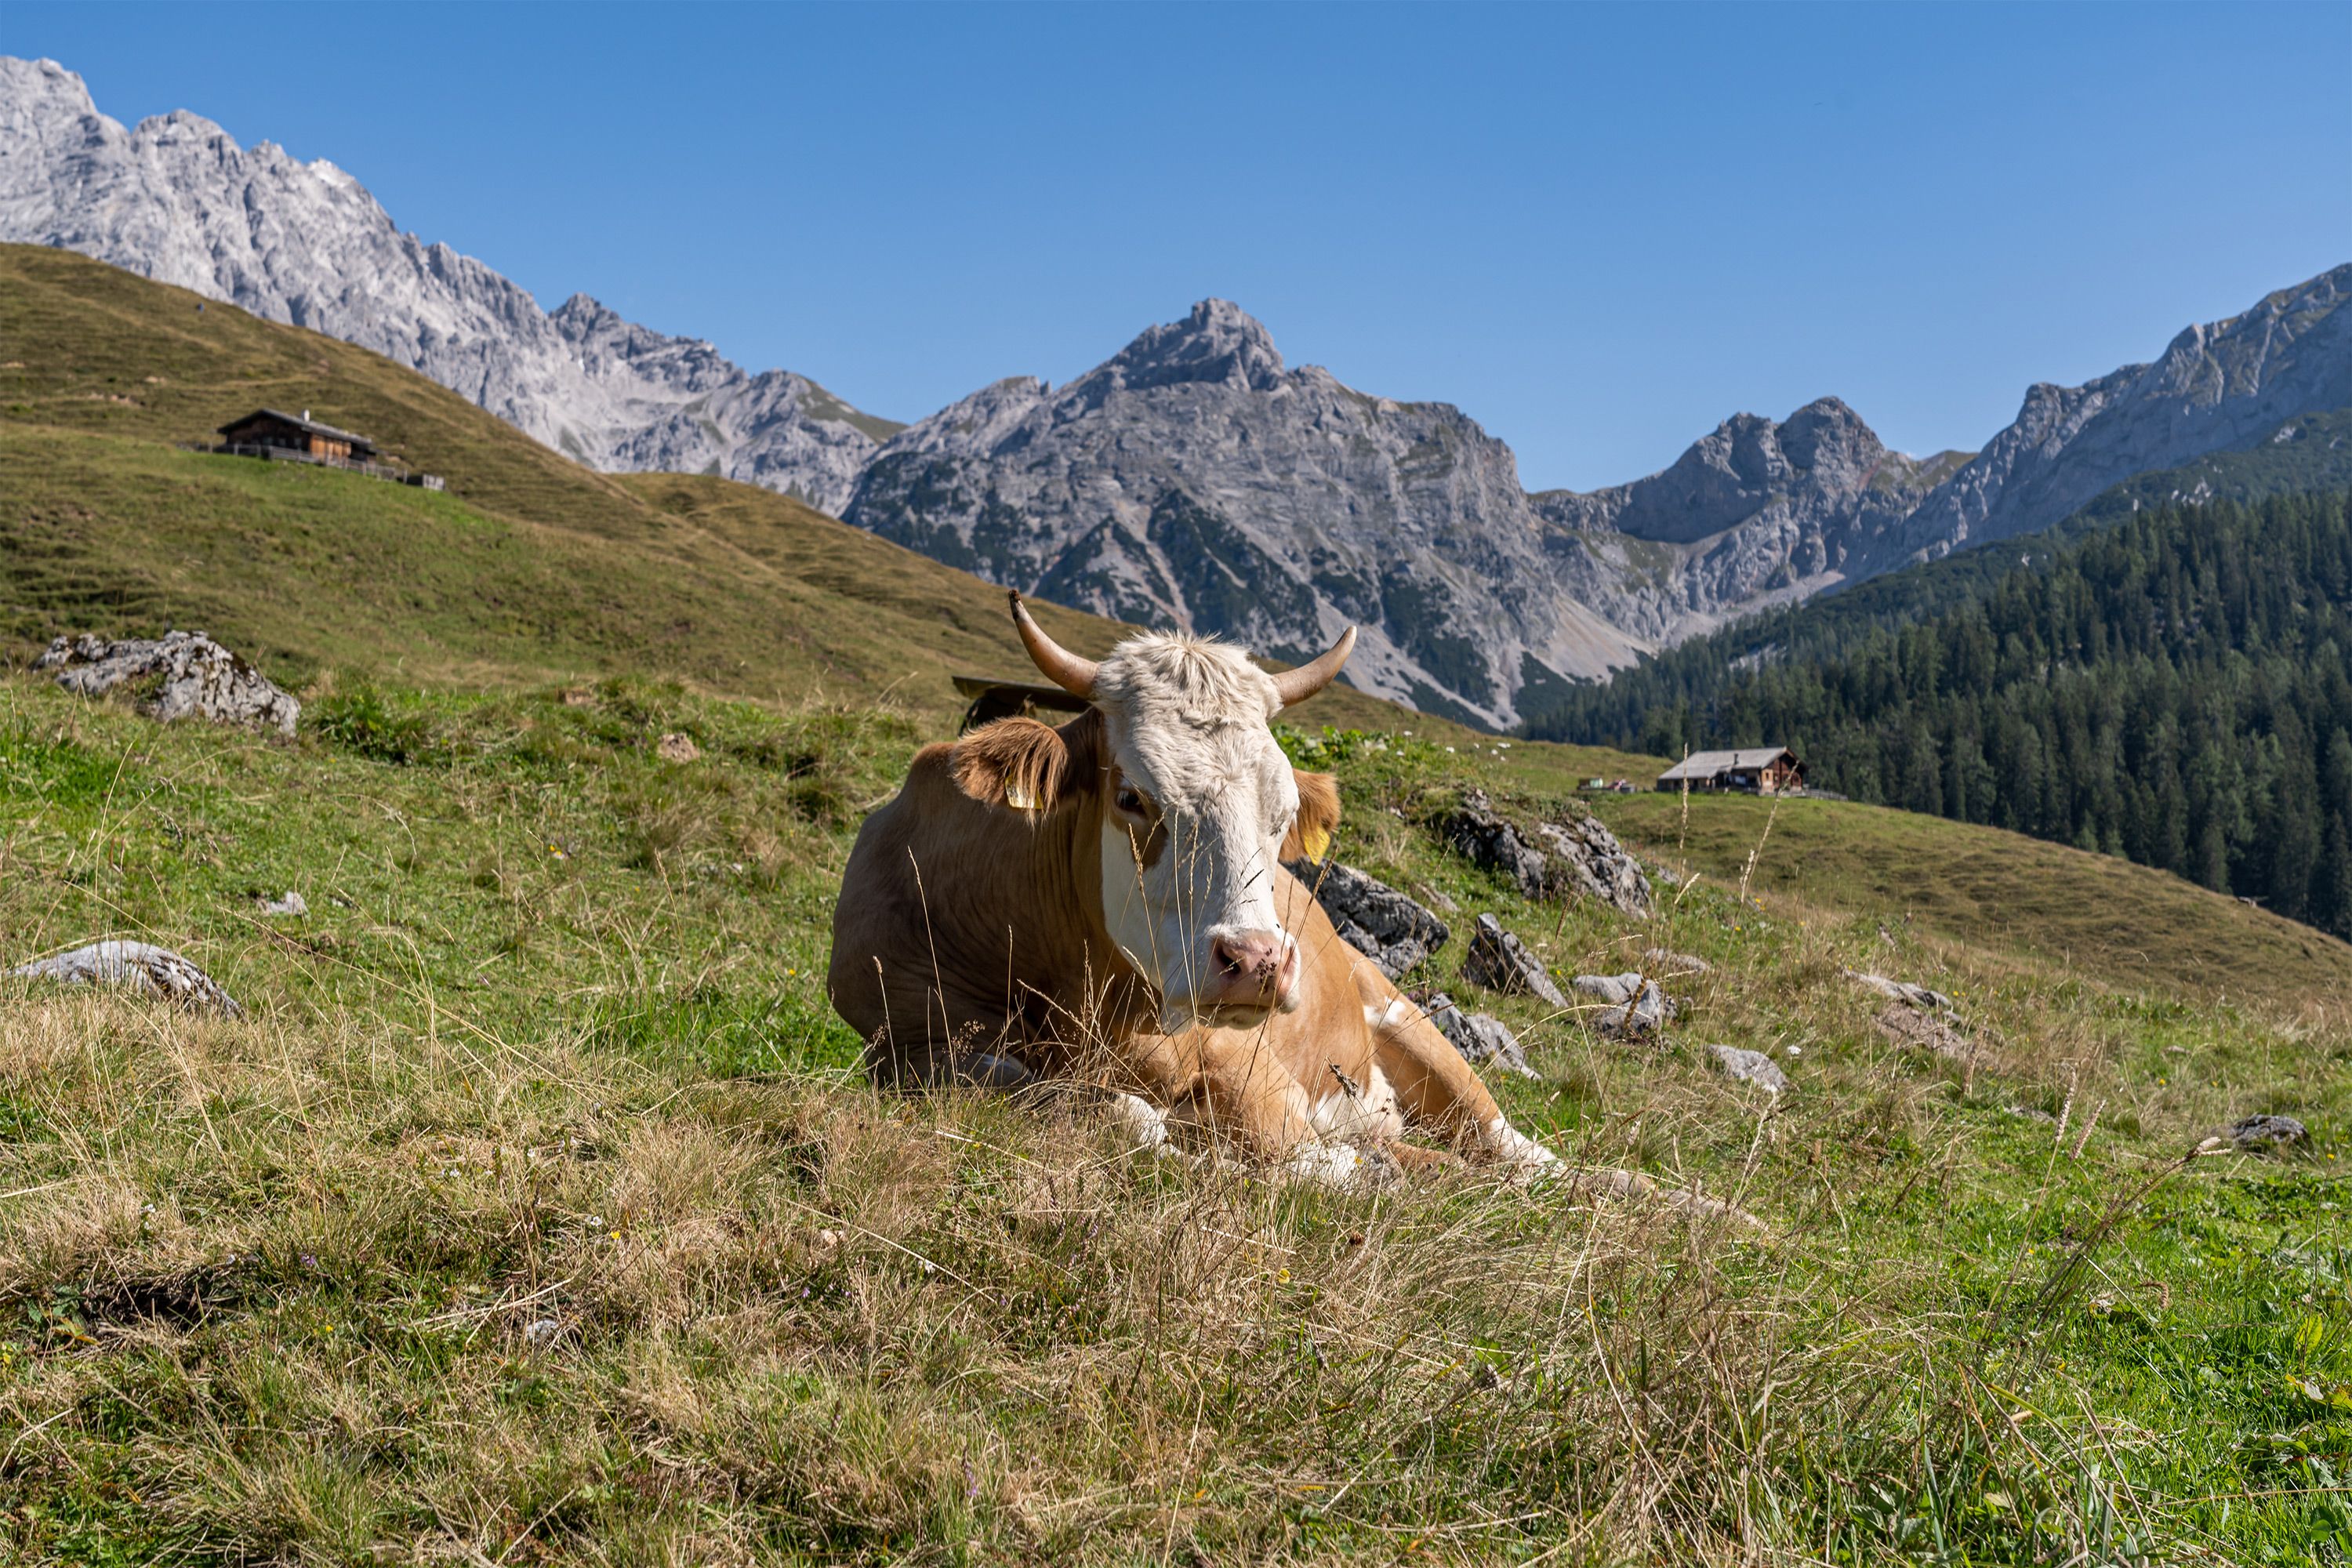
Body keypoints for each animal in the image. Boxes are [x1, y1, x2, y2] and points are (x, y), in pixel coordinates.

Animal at [827, 592, 1559, 1182]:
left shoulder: (1249, 1061)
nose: (1259, 961)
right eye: (1131, 797)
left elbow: (1308, 1159)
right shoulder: (903, 1049)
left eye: (1284, 811)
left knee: (1513, 1147)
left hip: (1405, 1020)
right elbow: (1107, 1111)